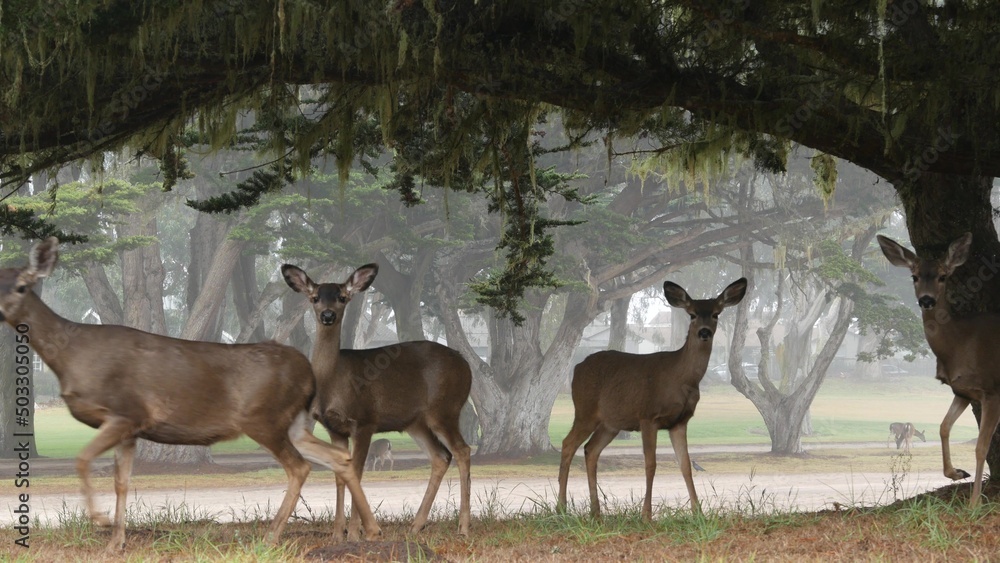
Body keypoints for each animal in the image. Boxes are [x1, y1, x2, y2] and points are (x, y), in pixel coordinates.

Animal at [0, 238, 380, 550]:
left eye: (21, 286)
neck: (71, 356)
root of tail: (308, 371)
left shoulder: (124, 412)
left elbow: (82, 460)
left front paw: (101, 520)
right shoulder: (131, 428)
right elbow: (122, 481)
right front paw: (116, 543)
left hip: (264, 418)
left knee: (300, 467)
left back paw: (271, 536)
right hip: (294, 422)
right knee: (339, 457)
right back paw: (370, 530)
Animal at [281, 263, 472, 536]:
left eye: (342, 297)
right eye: (315, 297)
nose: (327, 315)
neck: (333, 379)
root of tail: (467, 367)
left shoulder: (364, 420)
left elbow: (357, 471)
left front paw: (356, 532)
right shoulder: (334, 428)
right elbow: (340, 474)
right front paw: (338, 533)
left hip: (445, 410)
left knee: (462, 451)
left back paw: (463, 526)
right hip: (416, 422)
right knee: (441, 456)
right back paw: (416, 525)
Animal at [557, 277, 748, 519]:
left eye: (716, 313)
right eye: (692, 314)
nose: (704, 332)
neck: (681, 378)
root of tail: (577, 368)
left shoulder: (680, 422)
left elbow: (685, 465)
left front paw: (698, 513)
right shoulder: (648, 416)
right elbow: (651, 464)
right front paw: (646, 515)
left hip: (611, 423)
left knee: (591, 450)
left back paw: (596, 512)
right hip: (585, 410)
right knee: (568, 444)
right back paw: (561, 507)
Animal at [879, 232, 1000, 508]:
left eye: (943, 276)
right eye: (914, 275)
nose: (926, 300)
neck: (960, 344)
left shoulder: (992, 388)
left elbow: (981, 446)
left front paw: (974, 503)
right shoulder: (962, 391)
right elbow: (943, 427)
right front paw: (957, 473)